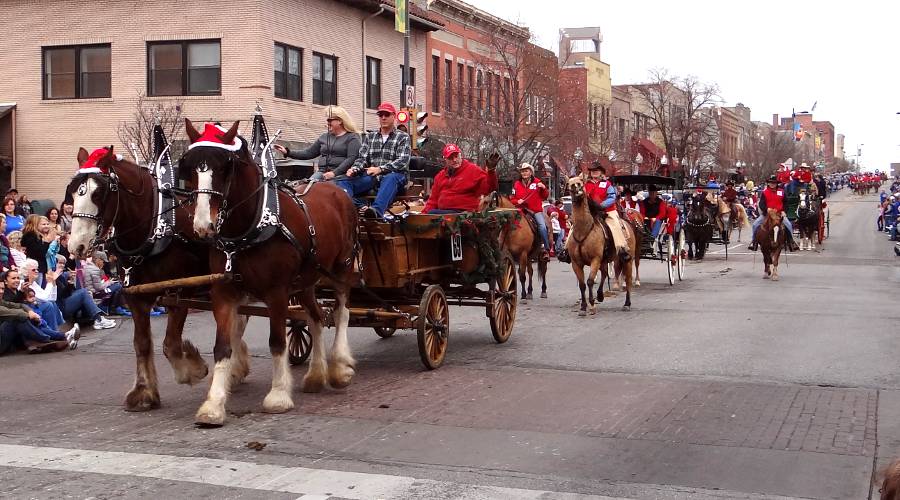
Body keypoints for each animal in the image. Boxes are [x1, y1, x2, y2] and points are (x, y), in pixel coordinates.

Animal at [65, 147, 243, 410]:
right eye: (72, 192)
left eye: (99, 193)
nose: (76, 246)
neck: (152, 231)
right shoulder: (135, 296)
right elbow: (141, 343)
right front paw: (144, 391)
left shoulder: (179, 291)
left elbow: (170, 344)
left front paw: (192, 369)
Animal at [183, 118, 358, 426]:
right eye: (190, 167)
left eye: (224, 167)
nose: (204, 225)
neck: (248, 228)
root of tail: (336, 190)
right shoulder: (224, 292)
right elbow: (222, 346)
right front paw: (213, 405)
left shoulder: (276, 292)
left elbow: (277, 342)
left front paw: (278, 396)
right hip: (307, 280)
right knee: (315, 317)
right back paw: (316, 375)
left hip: (341, 267)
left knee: (341, 311)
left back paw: (339, 367)